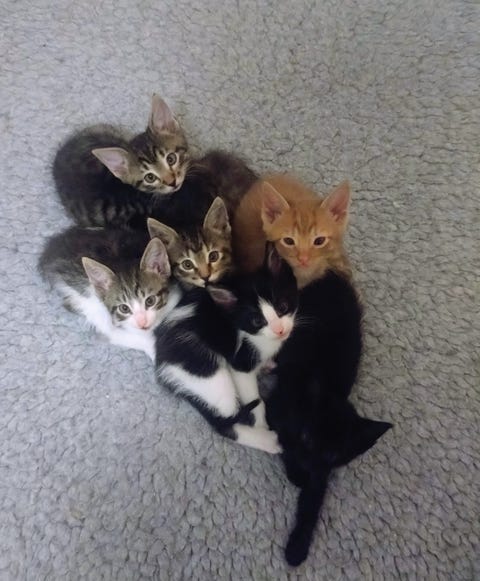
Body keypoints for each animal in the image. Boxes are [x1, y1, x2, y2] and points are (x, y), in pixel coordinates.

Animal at [154, 246, 298, 453]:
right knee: (223, 422)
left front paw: (266, 364)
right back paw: (267, 440)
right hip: (207, 372)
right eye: (257, 321)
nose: (280, 330)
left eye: (283, 307)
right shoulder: (239, 362)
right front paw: (261, 424)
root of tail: (161, 365)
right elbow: (255, 398)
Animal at [265, 270, 392, 566]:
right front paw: (296, 473)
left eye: (333, 454)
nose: (309, 463)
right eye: (307, 438)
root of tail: (334, 277)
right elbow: (287, 445)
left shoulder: (324, 468)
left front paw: (298, 545)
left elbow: (315, 495)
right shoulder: (276, 412)